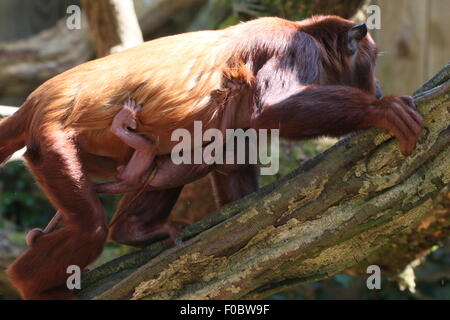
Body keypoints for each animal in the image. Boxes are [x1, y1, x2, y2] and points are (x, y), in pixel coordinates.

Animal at [0, 16, 422, 298]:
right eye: (372, 61)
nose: (378, 85)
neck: (307, 32)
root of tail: (36, 101)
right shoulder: (295, 49)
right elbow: (271, 109)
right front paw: (380, 110)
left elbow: (232, 156)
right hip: (51, 140)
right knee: (90, 226)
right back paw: (32, 284)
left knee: (163, 161)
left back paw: (134, 230)